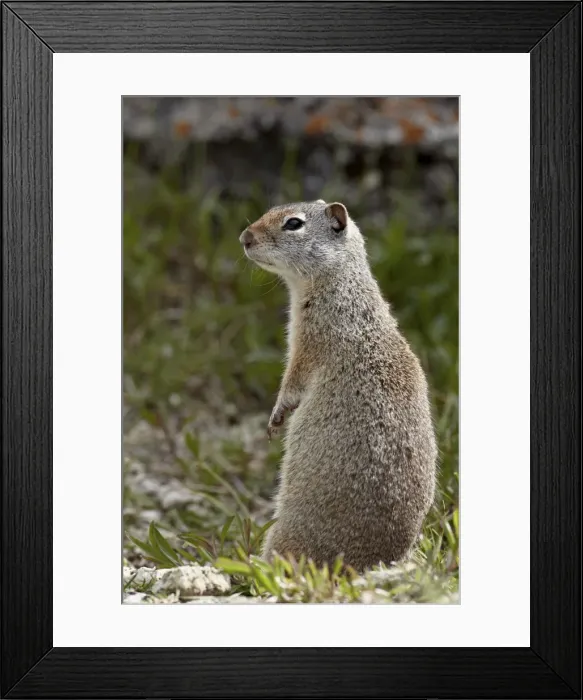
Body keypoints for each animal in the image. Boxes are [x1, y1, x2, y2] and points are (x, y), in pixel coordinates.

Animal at [239, 200, 437, 571]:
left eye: (293, 223)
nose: (244, 237)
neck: (341, 282)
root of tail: (373, 563)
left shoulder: (308, 344)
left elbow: (292, 382)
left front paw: (276, 417)